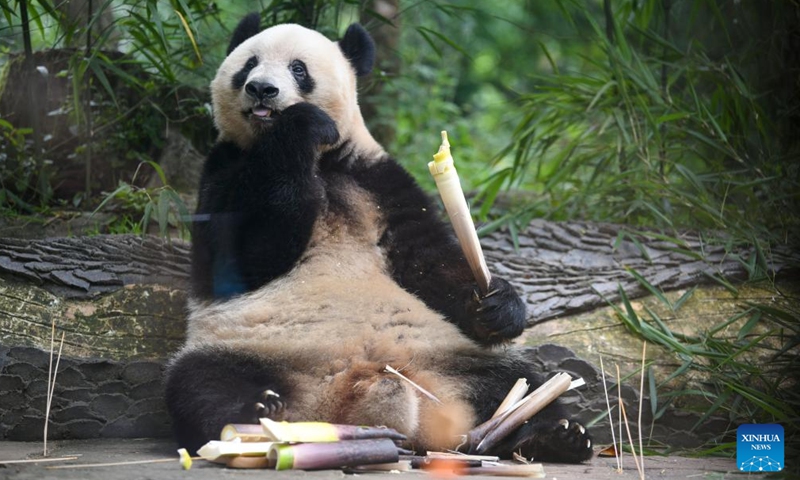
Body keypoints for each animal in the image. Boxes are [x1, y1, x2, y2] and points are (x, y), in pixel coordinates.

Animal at [166, 14, 592, 464]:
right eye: (249, 64)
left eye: (298, 69)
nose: (261, 88)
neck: (322, 161)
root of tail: (353, 394)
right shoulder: (222, 167)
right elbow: (243, 256)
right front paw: (302, 124)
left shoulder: (377, 179)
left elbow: (428, 261)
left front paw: (497, 306)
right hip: (248, 348)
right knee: (202, 384)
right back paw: (258, 412)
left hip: (452, 359)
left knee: (521, 380)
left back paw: (554, 435)